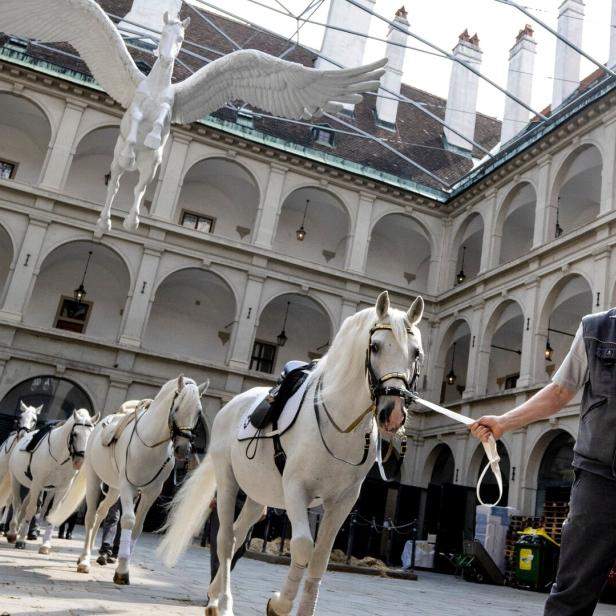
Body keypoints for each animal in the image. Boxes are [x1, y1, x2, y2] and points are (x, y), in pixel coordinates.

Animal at [1, 410, 98, 552]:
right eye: (75, 434)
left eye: (90, 435)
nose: (80, 461)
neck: (59, 458)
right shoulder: (37, 483)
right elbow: (31, 509)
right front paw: (21, 540)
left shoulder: (61, 489)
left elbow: (52, 513)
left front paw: (45, 544)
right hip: (16, 479)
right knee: (16, 503)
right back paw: (13, 532)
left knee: (24, 505)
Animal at [49, 376, 208, 584]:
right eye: (177, 408)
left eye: (198, 412)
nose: (183, 448)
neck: (150, 445)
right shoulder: (127, 486)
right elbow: (128, 521)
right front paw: (122, 570)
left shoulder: (151, 492)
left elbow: (138, 527)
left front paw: (123, 563)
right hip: (95, 479)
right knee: (91, 517)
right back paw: (84, 560)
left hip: (114, 489)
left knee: (101, 513)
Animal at [159, 292, 424, 616]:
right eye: (375, 347)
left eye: (416, 353)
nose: (393, 412)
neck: (338, 423)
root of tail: (231, 405)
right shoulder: (296, 489)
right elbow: (301, 546)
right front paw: (279, 603)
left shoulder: (343, 501)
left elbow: (320, 558)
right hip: (227, 483)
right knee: (225, 538)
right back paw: (222, 603)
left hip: (256, 497)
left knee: (237, 535)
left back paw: (214, 596)